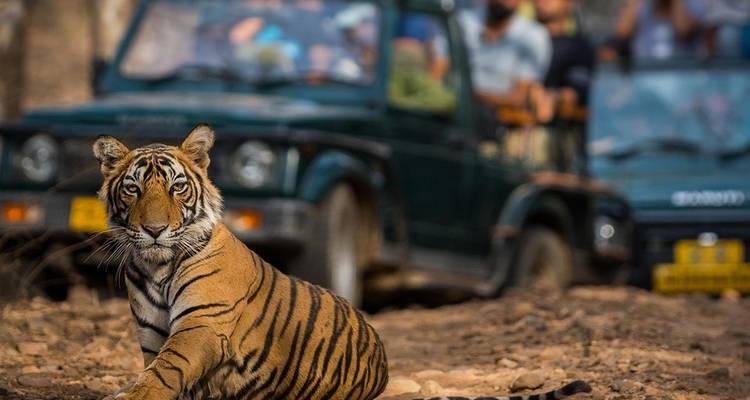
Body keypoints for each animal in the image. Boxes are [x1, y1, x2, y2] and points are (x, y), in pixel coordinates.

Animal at [92, 124, 592, 400]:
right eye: (133, 189)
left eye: (177, 187)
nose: (154, 230)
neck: (155, 266)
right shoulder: (152, 335)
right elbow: (157, 371)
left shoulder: (202, 326)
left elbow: (166, 371)